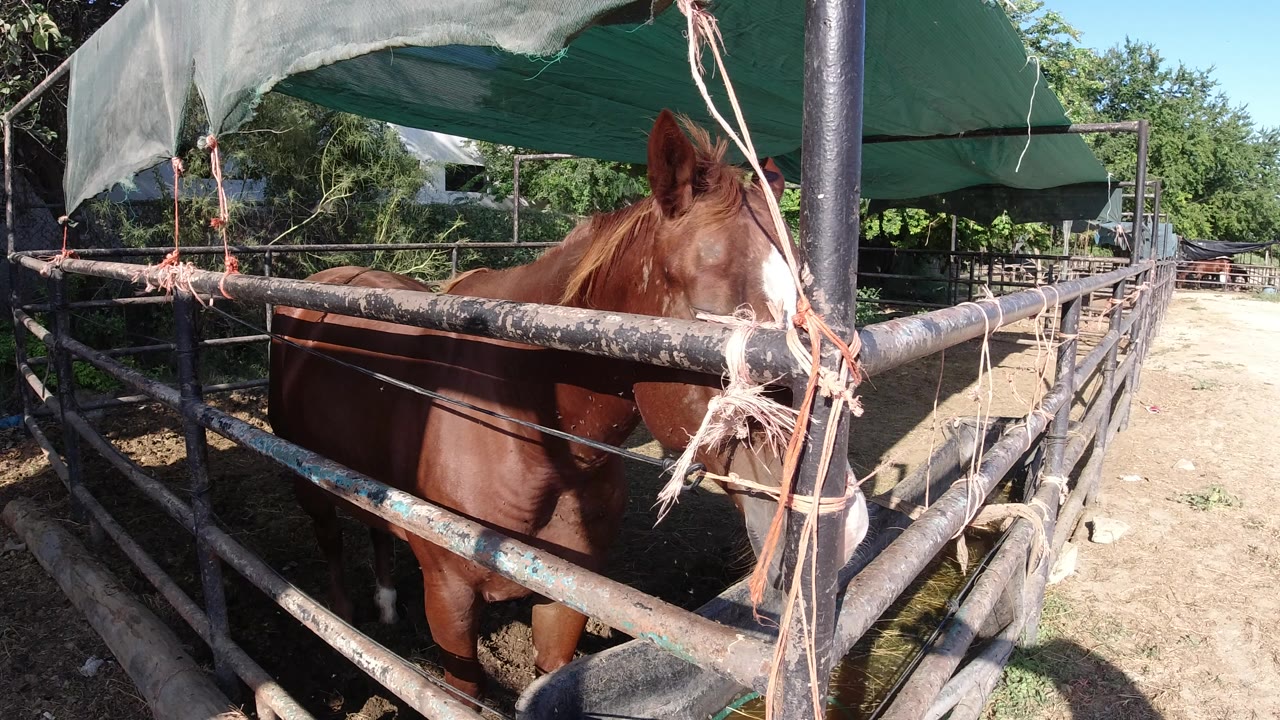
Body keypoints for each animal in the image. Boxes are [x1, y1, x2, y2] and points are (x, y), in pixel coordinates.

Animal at [267, 109, 870, 702]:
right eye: (718, 320)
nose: (844, 530)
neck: (528, 441)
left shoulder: (565, 598)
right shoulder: (450, 600)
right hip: (305, 481)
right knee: (330, 538)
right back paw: (343, 615)